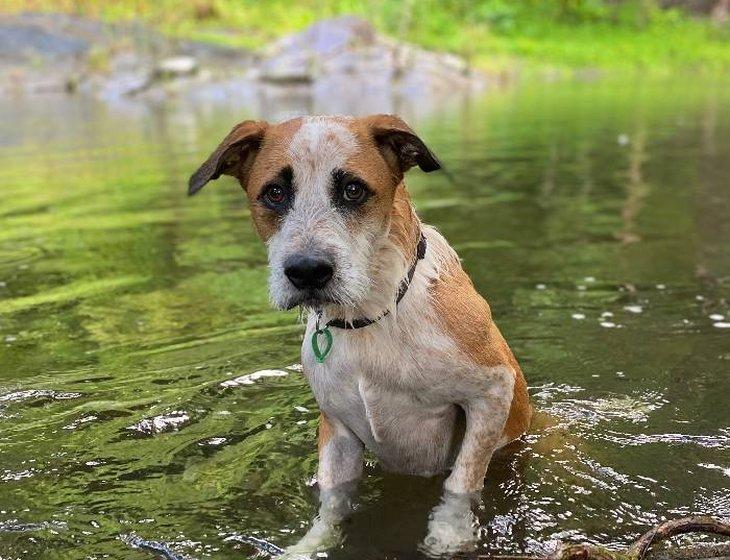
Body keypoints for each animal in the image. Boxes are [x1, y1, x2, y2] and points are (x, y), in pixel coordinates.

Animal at [188, 115, 528, 556]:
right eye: (275, 193)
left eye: (353, 189)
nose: (307, 271)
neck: (372, 318)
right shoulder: (337, 427)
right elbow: (334, 500)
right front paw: (309, 545)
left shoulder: (492, 390)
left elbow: (462, 480)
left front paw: (449, 532)